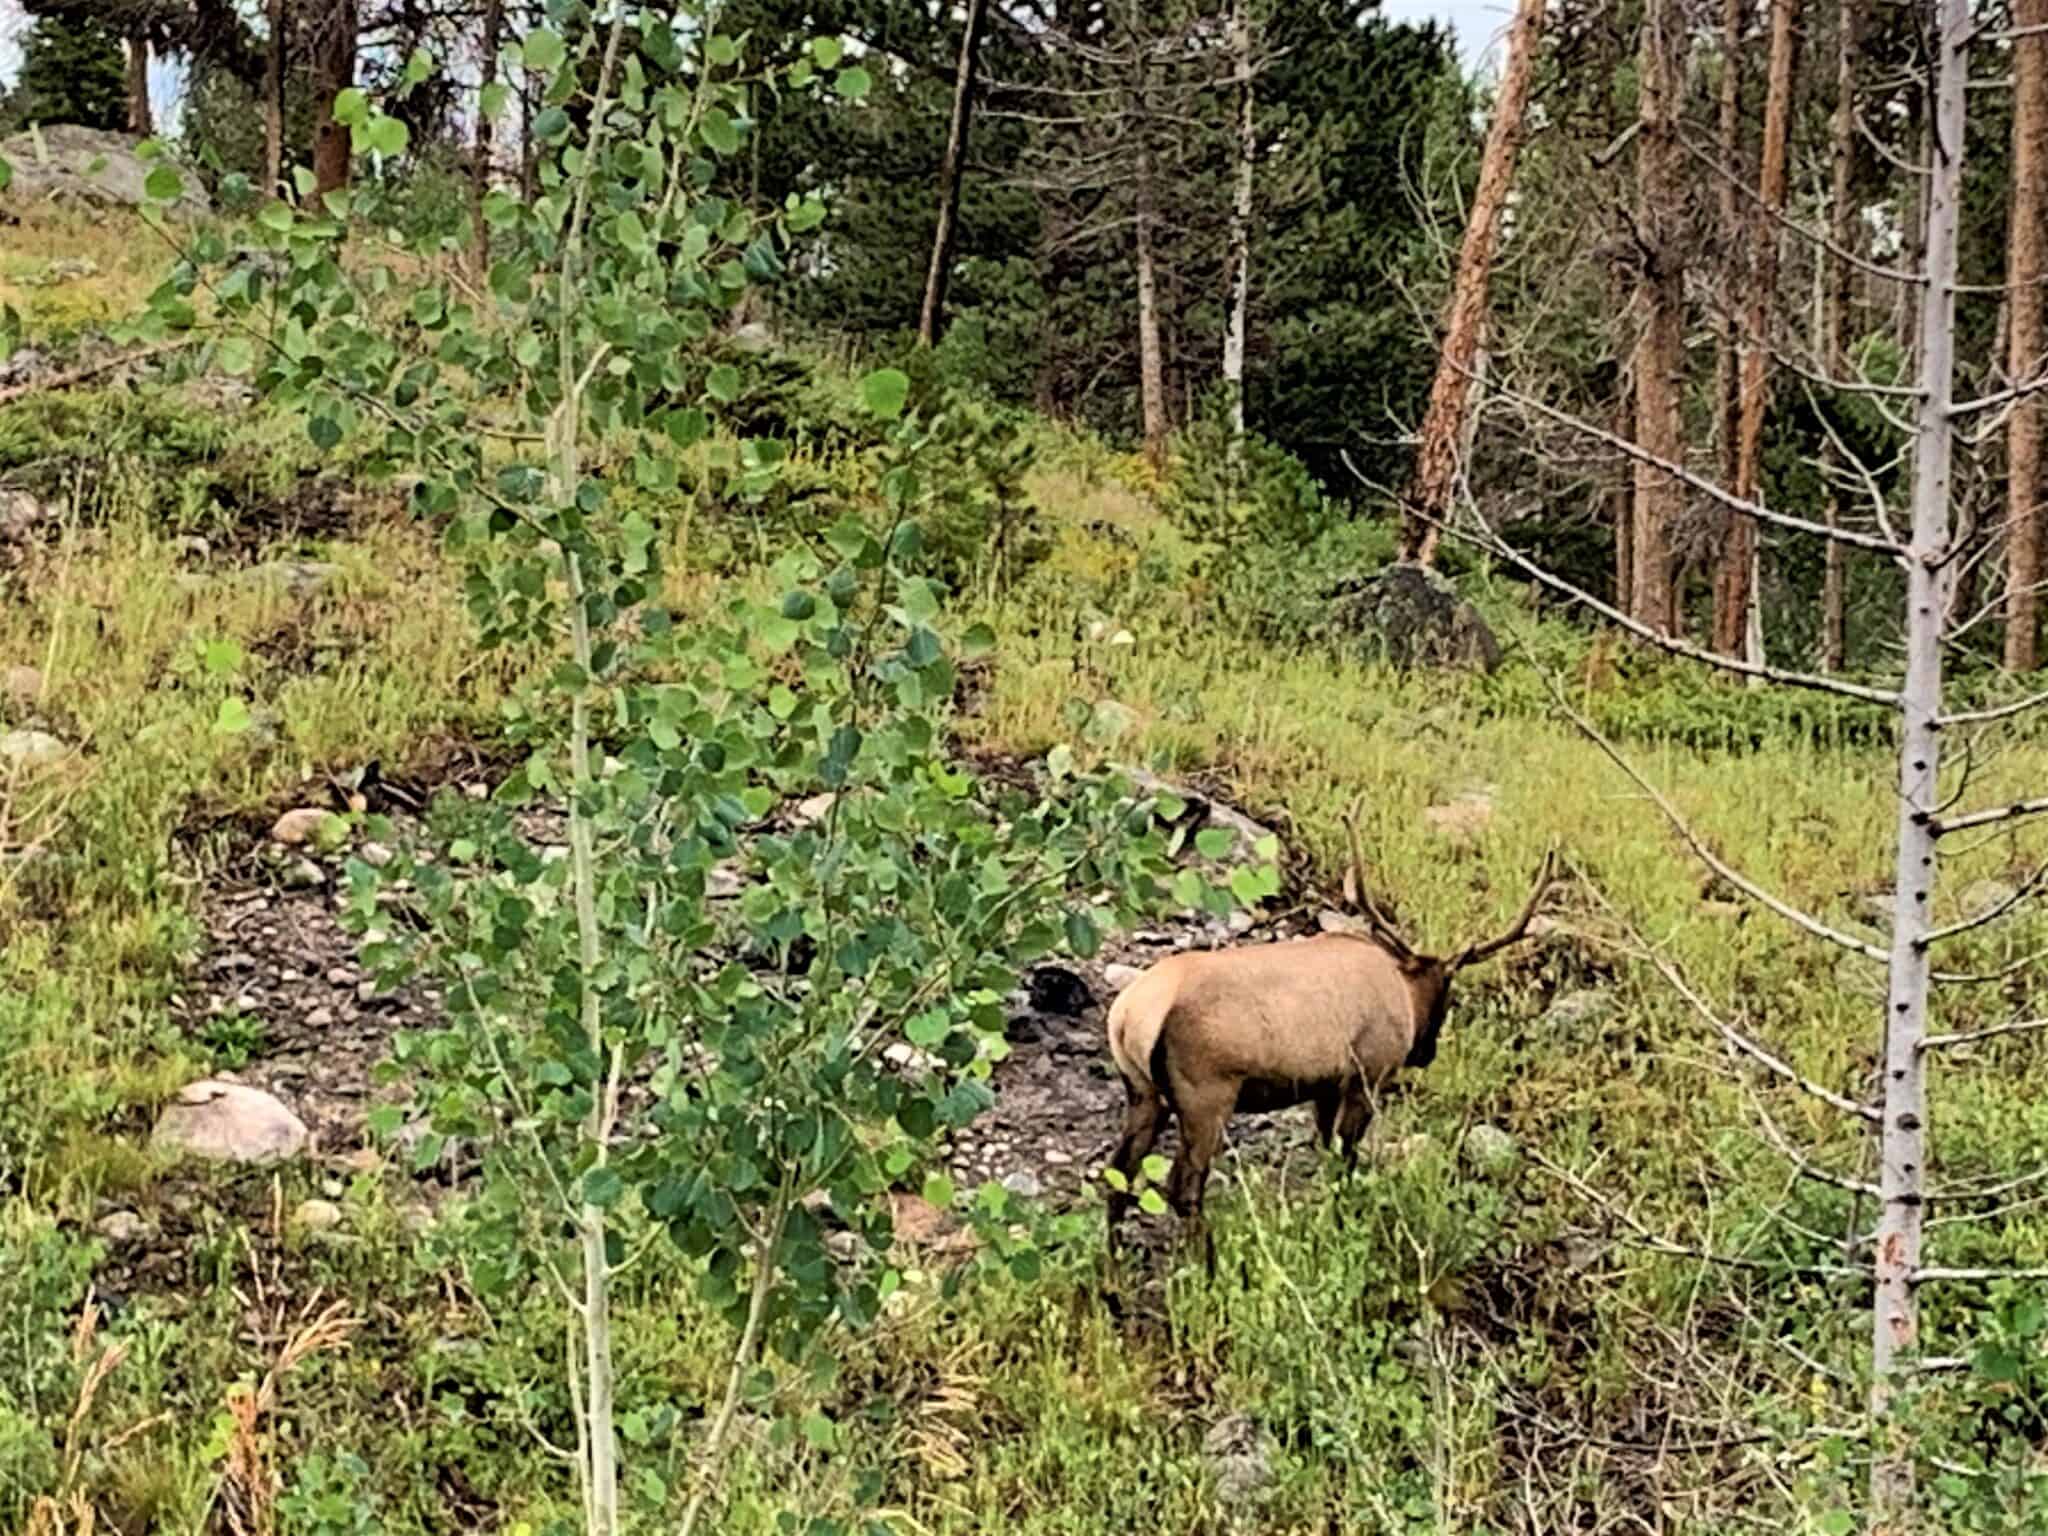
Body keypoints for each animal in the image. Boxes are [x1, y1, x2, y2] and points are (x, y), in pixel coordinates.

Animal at [1105, 811, 1548, 1253]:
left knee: (1118, 1173)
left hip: (1144, 1091)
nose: (1426, 1051)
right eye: (1446, 998)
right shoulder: (1367, 1075)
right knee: (1183, 1185)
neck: (1404, 992)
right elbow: (1345, 1159)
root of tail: (1127, 1016)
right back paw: (1209, 1265)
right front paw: (1344, 1227)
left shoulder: (1325, 1087)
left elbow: (1329, 1156)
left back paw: (1115, 1268)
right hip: (1206, 1094)